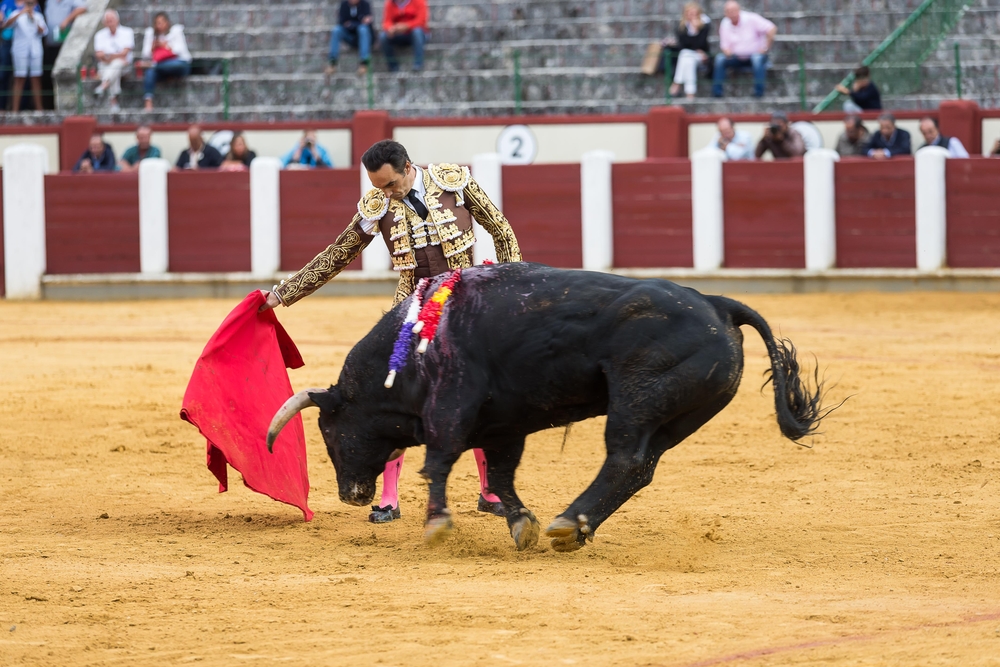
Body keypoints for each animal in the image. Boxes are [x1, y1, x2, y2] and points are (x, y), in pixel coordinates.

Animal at [266, 264, 828, 552]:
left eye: (329, 432)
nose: (352, 495)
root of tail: (717, 302)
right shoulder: (501, 425)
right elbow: (502, 474)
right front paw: (521, 525)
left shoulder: (453, 404)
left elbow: (440, 460)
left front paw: (438, 524)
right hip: (679, 415)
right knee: (641, 466)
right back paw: (572, 528)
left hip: (637, 401)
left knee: (624, 458)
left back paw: (570, 522)